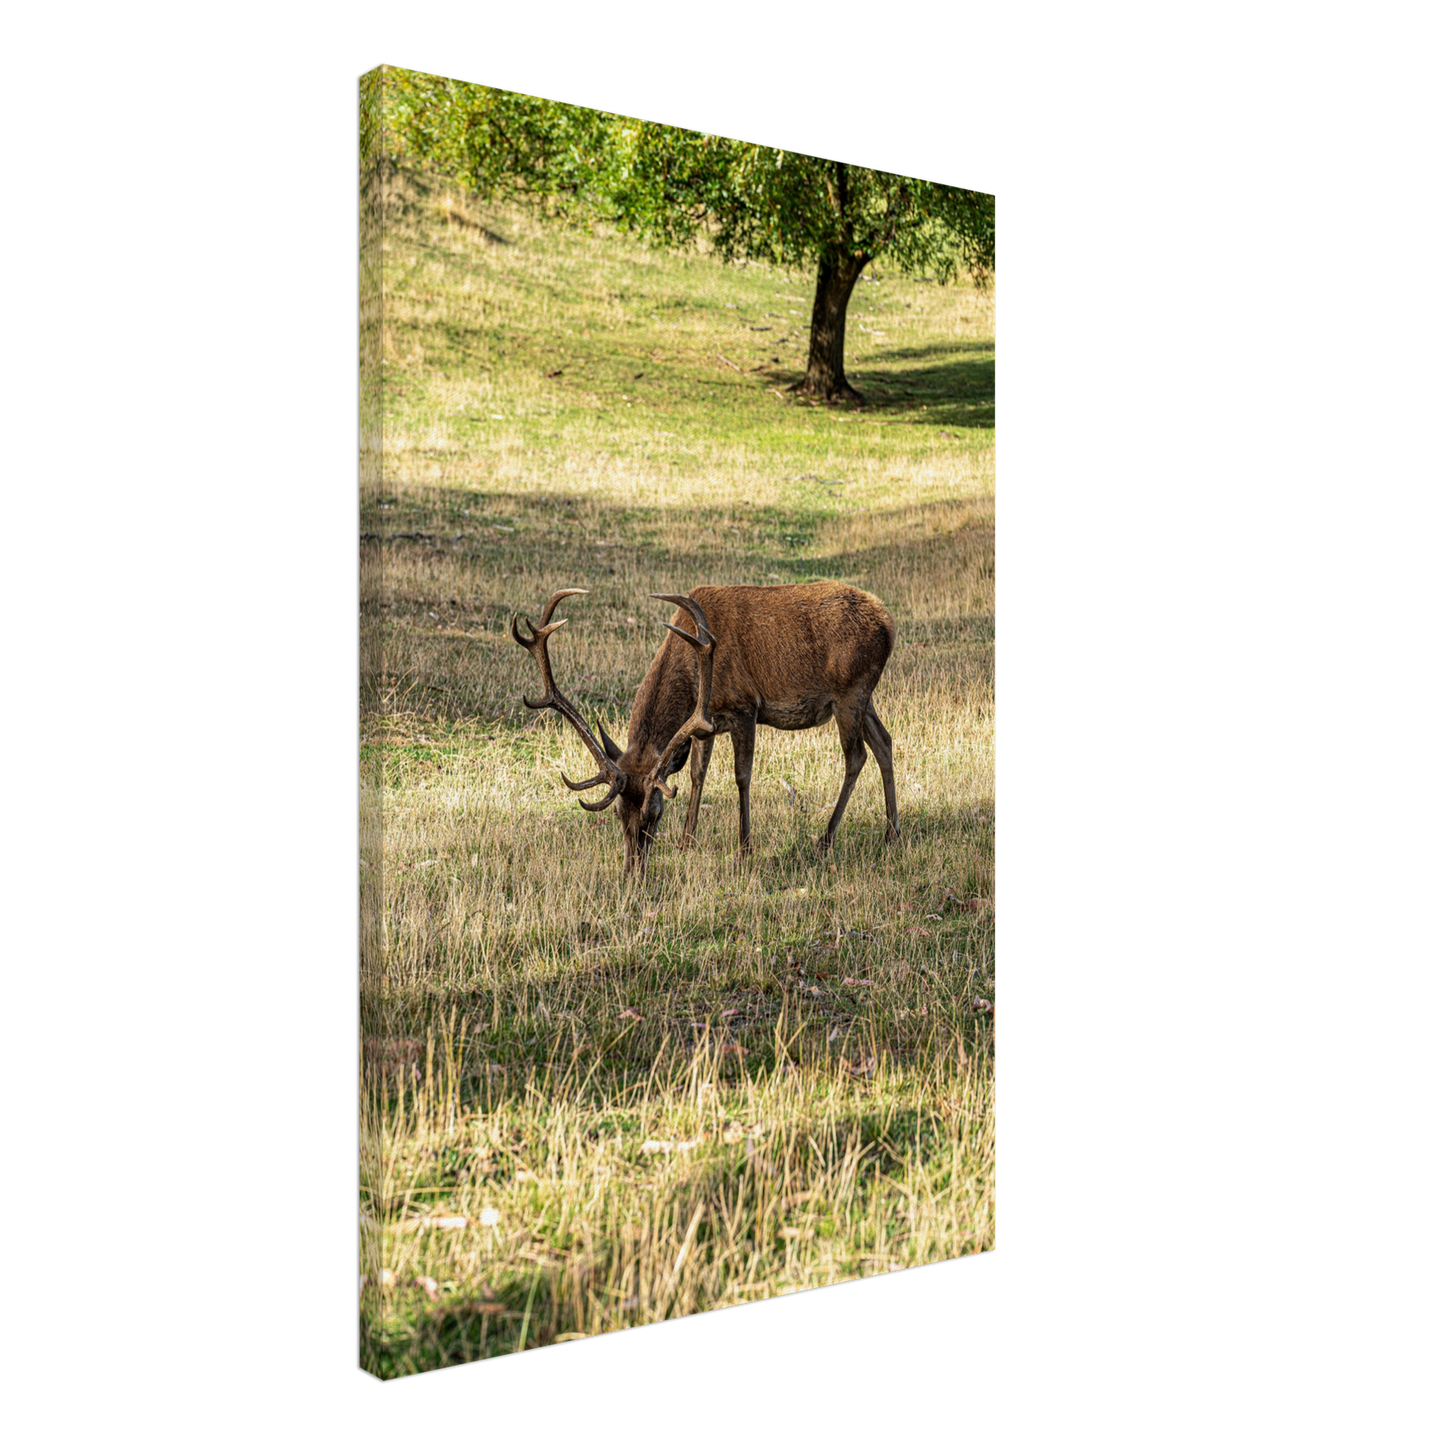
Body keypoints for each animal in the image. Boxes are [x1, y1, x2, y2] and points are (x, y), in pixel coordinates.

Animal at [510, 581, 900, 877]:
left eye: (655, 813)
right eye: (619, 812)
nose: (633, 871)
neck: (694, 683)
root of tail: (889, 624)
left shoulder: (744, 707)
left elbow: (742, 776)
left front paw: (744, 849)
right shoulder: (705, 726)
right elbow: (697, 774)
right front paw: (686, 842)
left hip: (851, 690)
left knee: (856, 756)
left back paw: (825, 839)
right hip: (862, 697)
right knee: (884, 741)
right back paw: (891, 832)